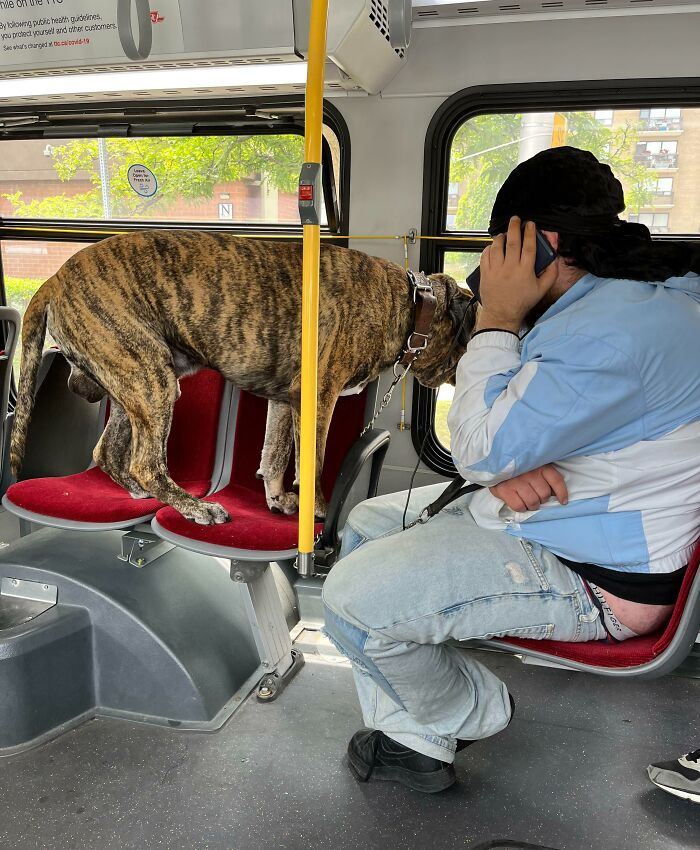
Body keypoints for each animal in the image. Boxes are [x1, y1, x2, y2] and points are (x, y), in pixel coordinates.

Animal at [10, 232, 476, 524]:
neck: (413, 304)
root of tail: (53, 279)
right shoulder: (318, 397)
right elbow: (313, 462)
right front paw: (317, 508)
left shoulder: (287, 401)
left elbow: (273, 456)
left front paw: (277, 498)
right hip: (151, 377)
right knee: (145, 462)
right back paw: (193, 507)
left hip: (134, 382)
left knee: (109, 451)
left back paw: (145, 494)